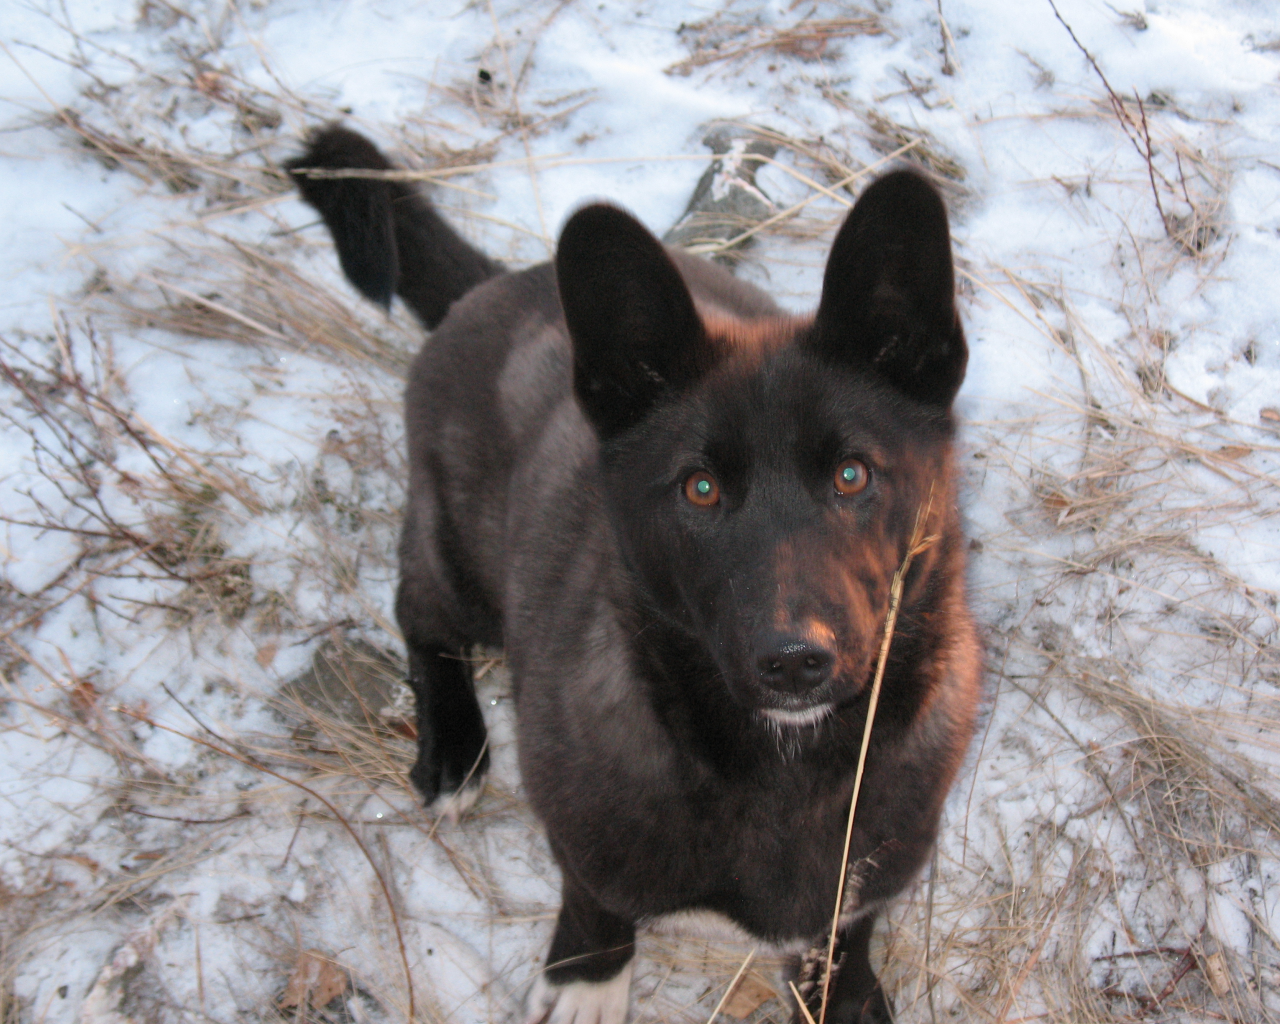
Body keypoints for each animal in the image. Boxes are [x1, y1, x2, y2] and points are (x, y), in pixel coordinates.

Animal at [290, 126, 983, 1024]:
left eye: (853, 475)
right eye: (700, 488)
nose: (795, 661)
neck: (784, 765)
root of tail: (500, 281)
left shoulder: (876, 863)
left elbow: (846, 930)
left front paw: (846, 994)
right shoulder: (581, 831)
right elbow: (595, 898)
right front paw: (589, 977)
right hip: (461, 565)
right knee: (419, 611)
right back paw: (453, 747)